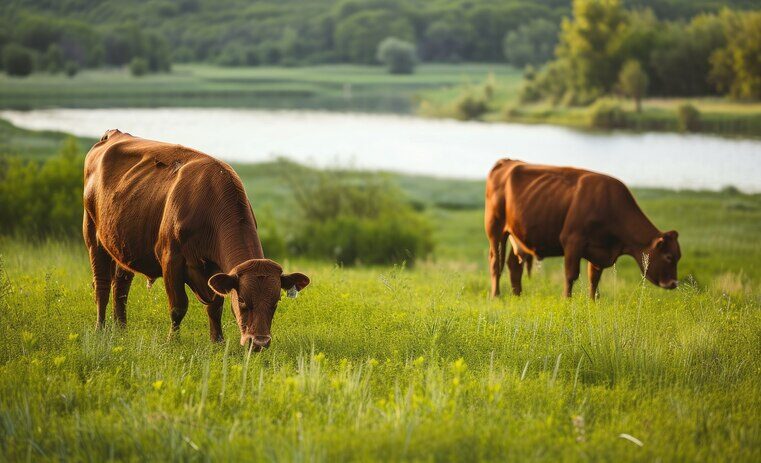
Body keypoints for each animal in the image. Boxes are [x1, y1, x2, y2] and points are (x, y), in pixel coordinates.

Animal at [83, 129, 308, 350]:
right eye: (243, 300)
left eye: (276, 301)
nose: (259, 342)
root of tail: (115, 134)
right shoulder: (170, 260)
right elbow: (178, 306)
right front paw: (172, 341)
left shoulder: (217, 271)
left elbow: (215, 306)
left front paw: (217, 341)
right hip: (93, 235)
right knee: (102, 285)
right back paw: (100, 329)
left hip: (123, 246)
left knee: (121, 287)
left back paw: (121, 329)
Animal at [484, 159, 680, 298]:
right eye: (669, 257)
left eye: (678, 256)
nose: (674, 283)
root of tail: (507, 162)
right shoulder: (572, 241)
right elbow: (571, 275)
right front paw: (567, 300)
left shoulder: (599, 250)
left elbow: (594, 279)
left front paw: (592, 302)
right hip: (496, 229)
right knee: (495, 263)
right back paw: (496, 296)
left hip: (517, 236)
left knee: (513, 265)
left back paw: (517, 295)